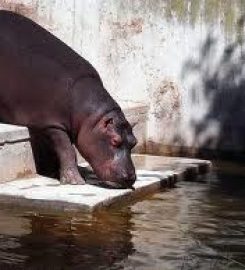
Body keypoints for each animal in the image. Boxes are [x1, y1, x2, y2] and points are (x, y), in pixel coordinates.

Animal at [0, 10, 137, 188]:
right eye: (114, 141)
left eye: (134, 142)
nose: (131, 177)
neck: (91, 118)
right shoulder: (52, 123)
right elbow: (67, 150)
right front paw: (75, 181)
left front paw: (53, 172)